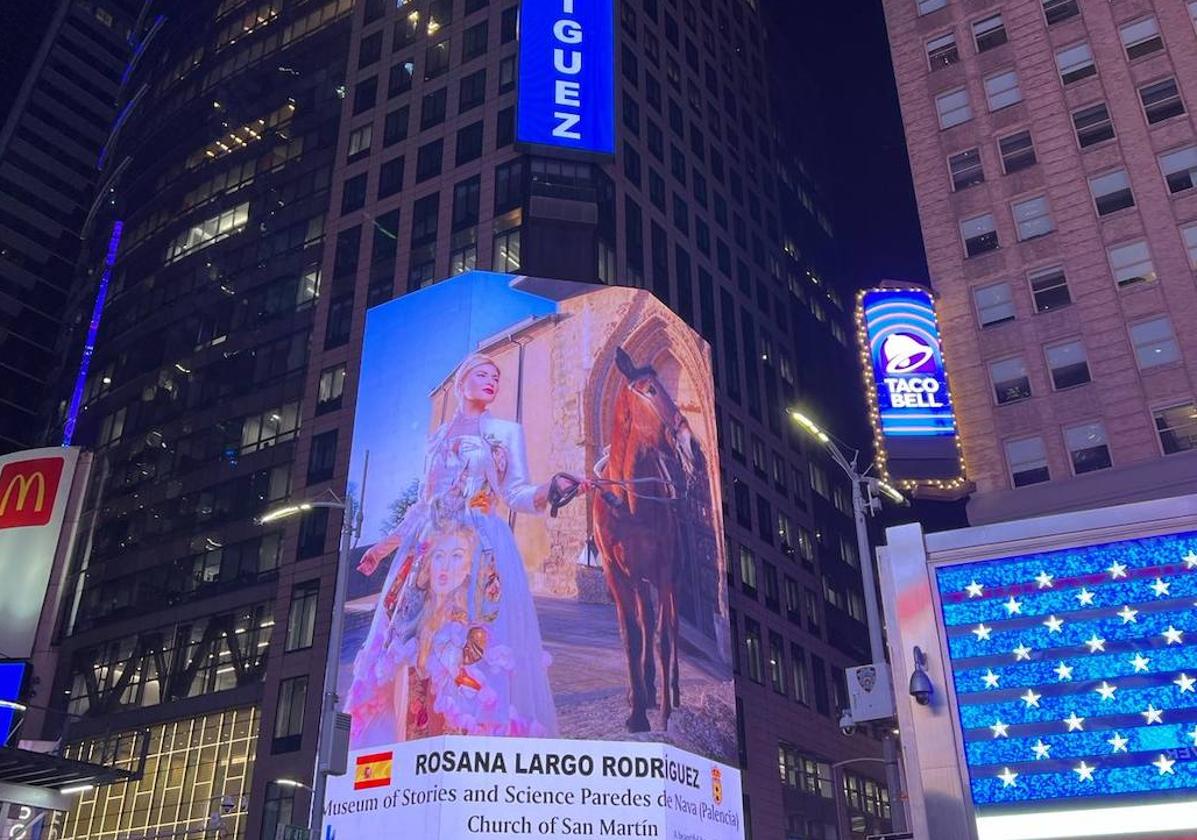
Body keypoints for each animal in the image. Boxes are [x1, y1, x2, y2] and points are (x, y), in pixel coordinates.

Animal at [591, 344, 699, 732]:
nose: (690, 444)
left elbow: (664, 636)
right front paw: (637, 710)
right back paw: (646, 690)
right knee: (646, 622)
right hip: (639, 578)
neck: (628, 499)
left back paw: (672, 693)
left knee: (668, 626)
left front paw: (665, 713)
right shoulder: (616, 572)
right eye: (650, 390)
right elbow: (632, 636)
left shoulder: (664, 569)